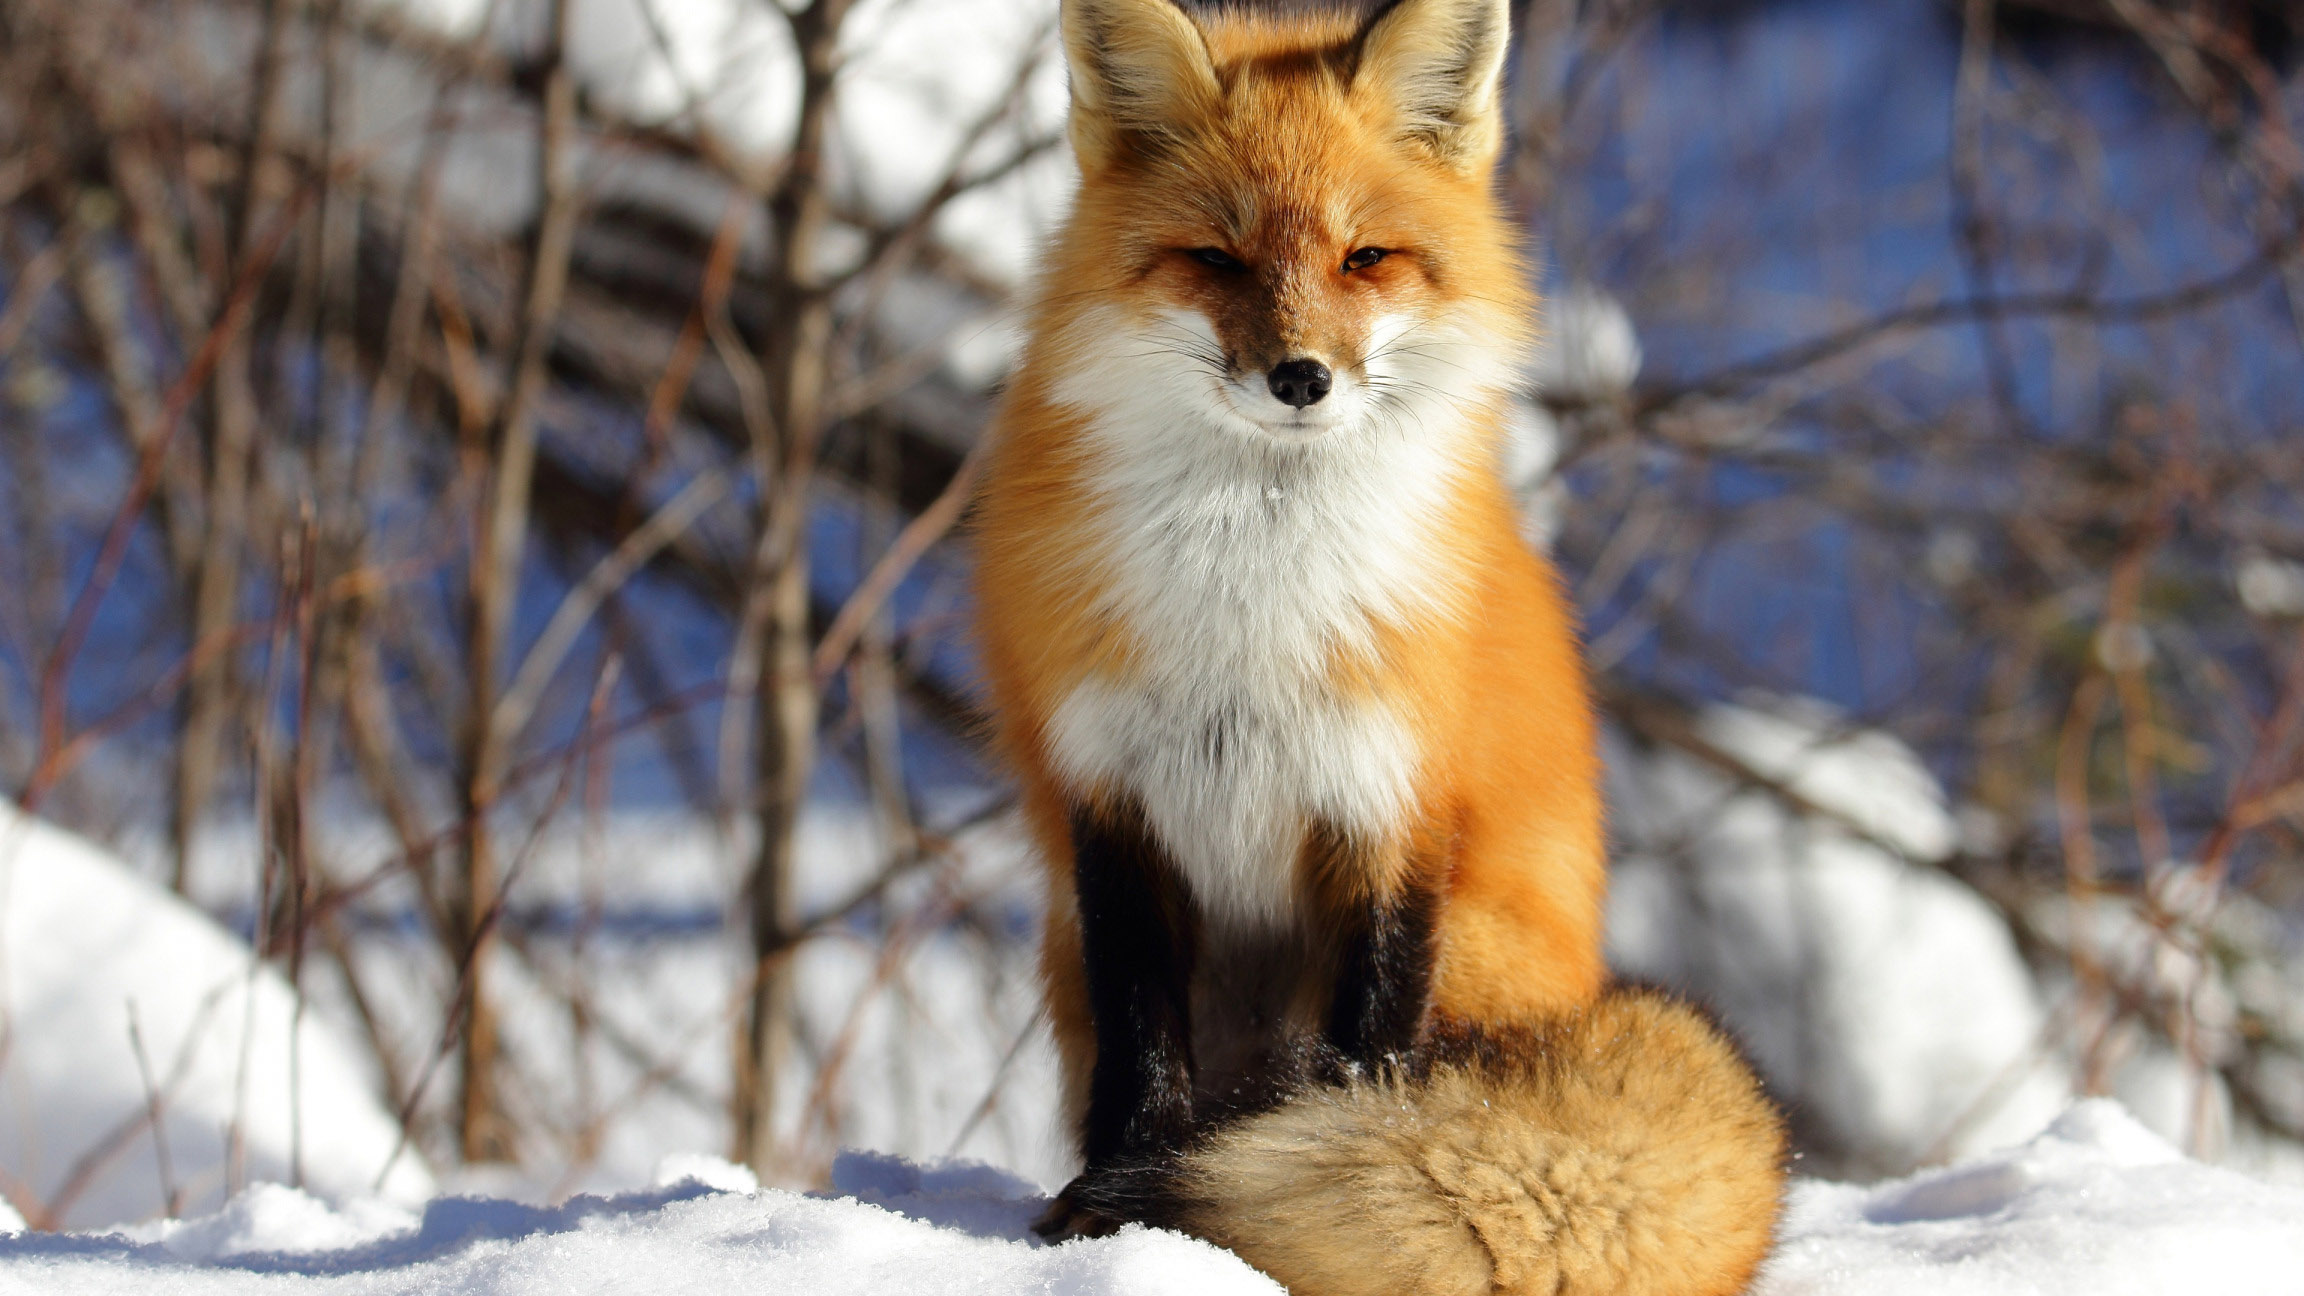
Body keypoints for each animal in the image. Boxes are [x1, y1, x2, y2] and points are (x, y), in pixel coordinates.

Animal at [969, 0, 1787, 1292]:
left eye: (1366, 259)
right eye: (1217, 259)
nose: (1300, 377)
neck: (1252, 598)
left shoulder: (1391, 801)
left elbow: (1363, 1058)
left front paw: (1220, 1188)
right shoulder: (1109, 798)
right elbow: (1145, 1043)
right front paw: (1116, 1212)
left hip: (1480, 952)